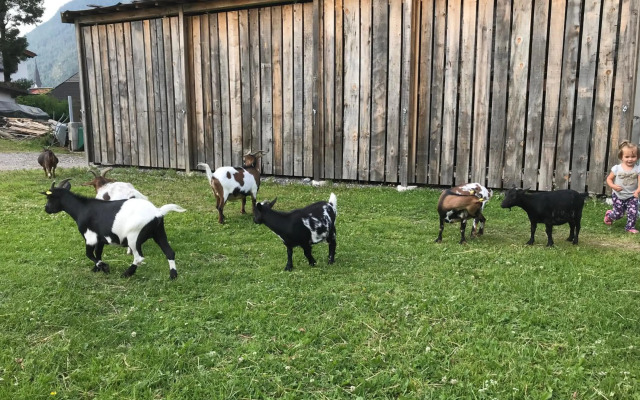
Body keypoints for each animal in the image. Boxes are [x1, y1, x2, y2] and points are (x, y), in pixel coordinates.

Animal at [42, 179, 186, 279]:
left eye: (49, 197)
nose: (46, 209)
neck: (81, 209)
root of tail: (157, 212)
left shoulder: (90, 237)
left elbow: (89, 254)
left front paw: (105, 267)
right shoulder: (100, 239)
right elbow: (98, 253)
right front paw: (96, 269)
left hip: (134, 236)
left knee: (139, 257)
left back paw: (127, 273)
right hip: (159, 233)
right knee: (169, 252)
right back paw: (173, 276)